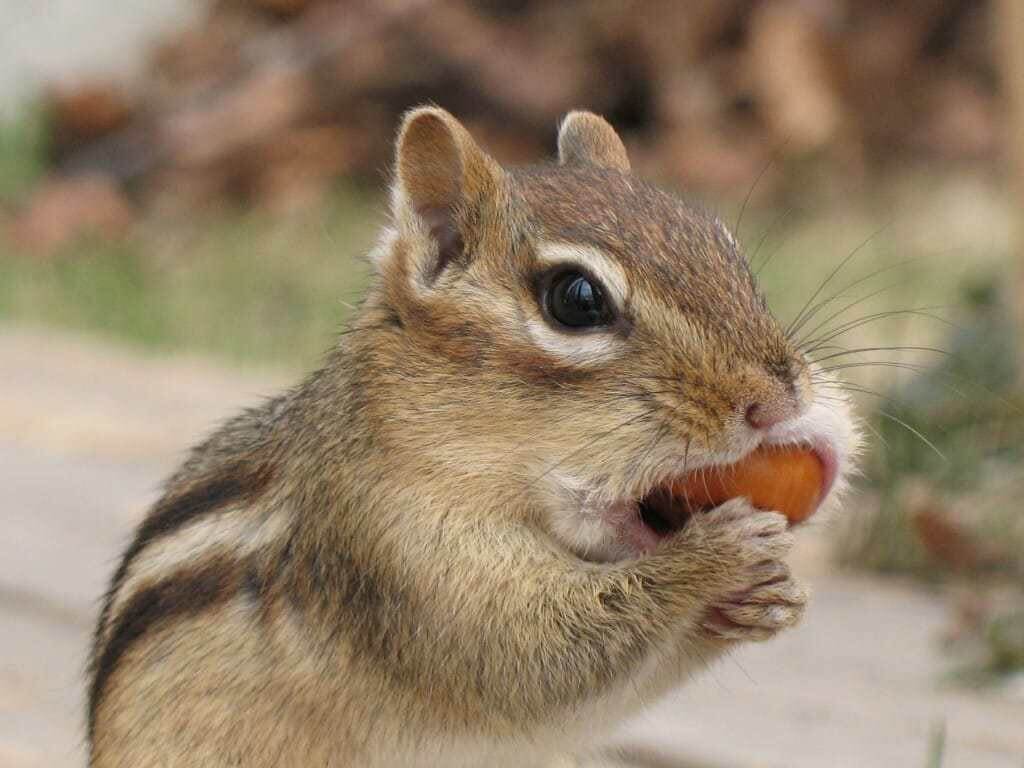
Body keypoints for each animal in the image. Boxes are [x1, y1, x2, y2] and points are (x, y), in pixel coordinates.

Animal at [87, 107, 858, 767]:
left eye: (725, 245)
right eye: (577, 298)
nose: (779, 398)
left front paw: (773, 595)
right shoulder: (396, 558)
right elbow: (535, 657)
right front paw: (714, 556)